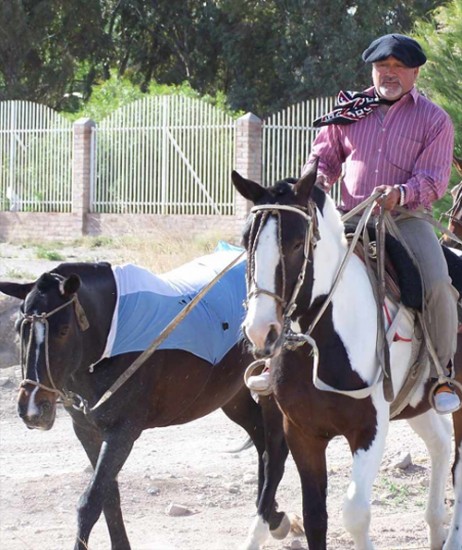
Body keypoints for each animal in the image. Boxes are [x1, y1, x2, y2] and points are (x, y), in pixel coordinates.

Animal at [0, 251, 288, 550]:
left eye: (64, 330)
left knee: (275, 451)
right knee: (262, 443)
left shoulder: (122, 432)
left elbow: (90, 503)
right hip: (232, 395)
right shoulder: (87, 431)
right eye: (18, 329)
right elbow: (108, 496)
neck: (113, 337)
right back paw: (274, 516)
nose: (33, 408)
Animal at [233, 165, 462, 550]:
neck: (319, 347)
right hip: (415, 402)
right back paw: (435, 529)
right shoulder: (301, 432)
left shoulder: (370, 427)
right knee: (440, 443)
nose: (261, 330)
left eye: (297, 244)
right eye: (246, 240)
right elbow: (315, 517)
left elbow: (355, 513)